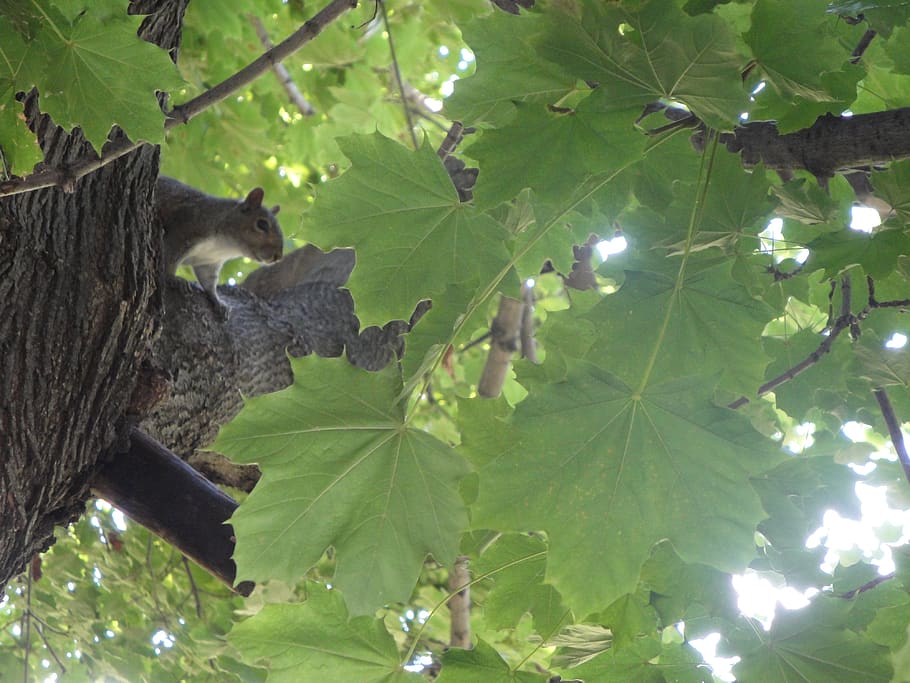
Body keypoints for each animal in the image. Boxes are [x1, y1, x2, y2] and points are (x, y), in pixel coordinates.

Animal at [156, 176, 284, 312]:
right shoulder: (183, 232)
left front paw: (216, 300)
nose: (278, 256)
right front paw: (172, 278)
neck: (224, 247)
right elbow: (170, 257)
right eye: (262, 224)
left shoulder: (209, 262)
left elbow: (208, 282)